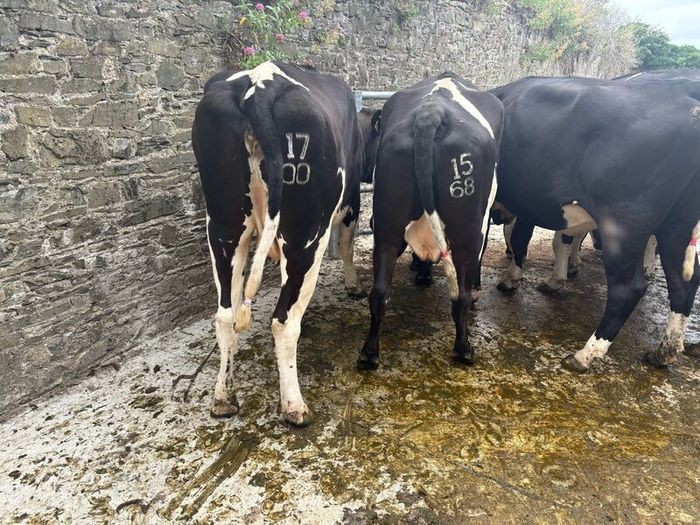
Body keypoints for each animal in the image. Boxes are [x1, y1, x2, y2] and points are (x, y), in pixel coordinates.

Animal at [192, 61, 375, 426]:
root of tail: (261, 83)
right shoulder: (351, 204)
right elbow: (347, 246)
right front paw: (353, 285)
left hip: (223, 225)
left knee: (225, 316)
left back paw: (224, 398)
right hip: (306, 232)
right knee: (284, 322)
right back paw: (295, 407)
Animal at [356, 72, 503, 369]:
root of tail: (432, 112)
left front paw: (422, 273)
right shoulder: (483, 223)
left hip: (386, 224)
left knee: (379, 292)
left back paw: (369, 353)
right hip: (467, 229)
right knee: (460, 294)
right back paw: (464, 348)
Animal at [490, 76, 700, 372]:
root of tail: (693, 113)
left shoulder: (524, 204)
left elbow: (519, 239)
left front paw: (512, 279)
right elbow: (547, 241)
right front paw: (551, 279)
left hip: (623, 225)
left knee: (628, 288)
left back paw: (586, 354)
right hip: (678, 224)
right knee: (684, 283)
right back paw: (664, 352)